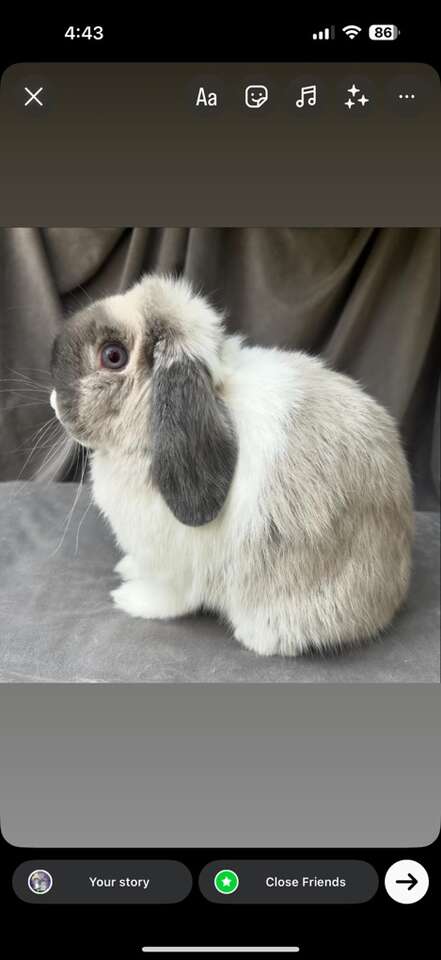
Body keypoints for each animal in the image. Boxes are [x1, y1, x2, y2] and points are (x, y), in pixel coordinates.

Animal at [49, 274, 414, 656]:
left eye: (113, 356)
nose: (54, 400)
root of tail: (391, 597)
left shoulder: (174, 565)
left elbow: (168, 596)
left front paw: (131, 599)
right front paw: (126, 567)